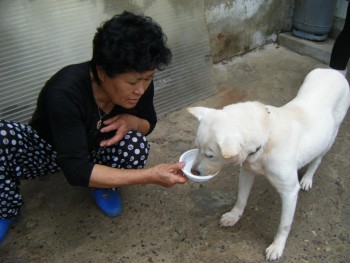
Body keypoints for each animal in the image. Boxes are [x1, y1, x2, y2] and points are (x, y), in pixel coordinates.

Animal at [189, 68, 350, 262]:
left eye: (210, 155)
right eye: (197, 148)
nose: (194, 171)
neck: (266, 138)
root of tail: (334, 71)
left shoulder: (289, 192)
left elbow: (284, 225)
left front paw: (277, 247)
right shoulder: (247, 171)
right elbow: (241, 199)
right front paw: (234, 216)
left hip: (331, 136)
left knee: (317, 159)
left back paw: (307, 178)